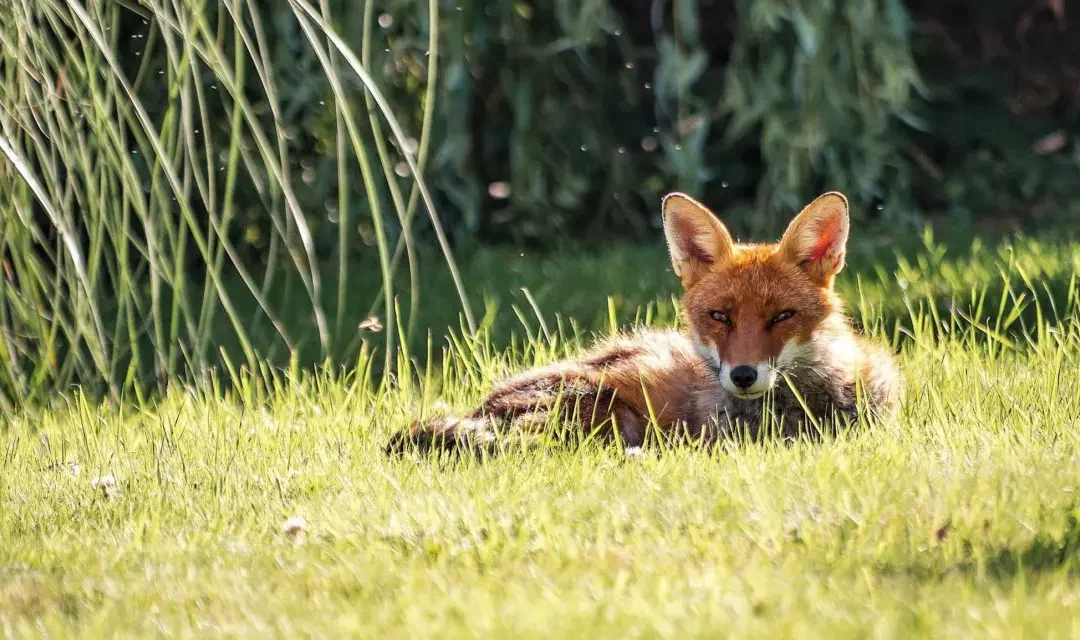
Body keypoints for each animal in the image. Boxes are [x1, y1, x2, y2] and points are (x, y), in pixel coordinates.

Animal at [388, 192, 902, 451]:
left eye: (782, 316)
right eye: (720, 317)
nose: (743, 375)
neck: (806, 409)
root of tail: (481, 406)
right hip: (608, 410)